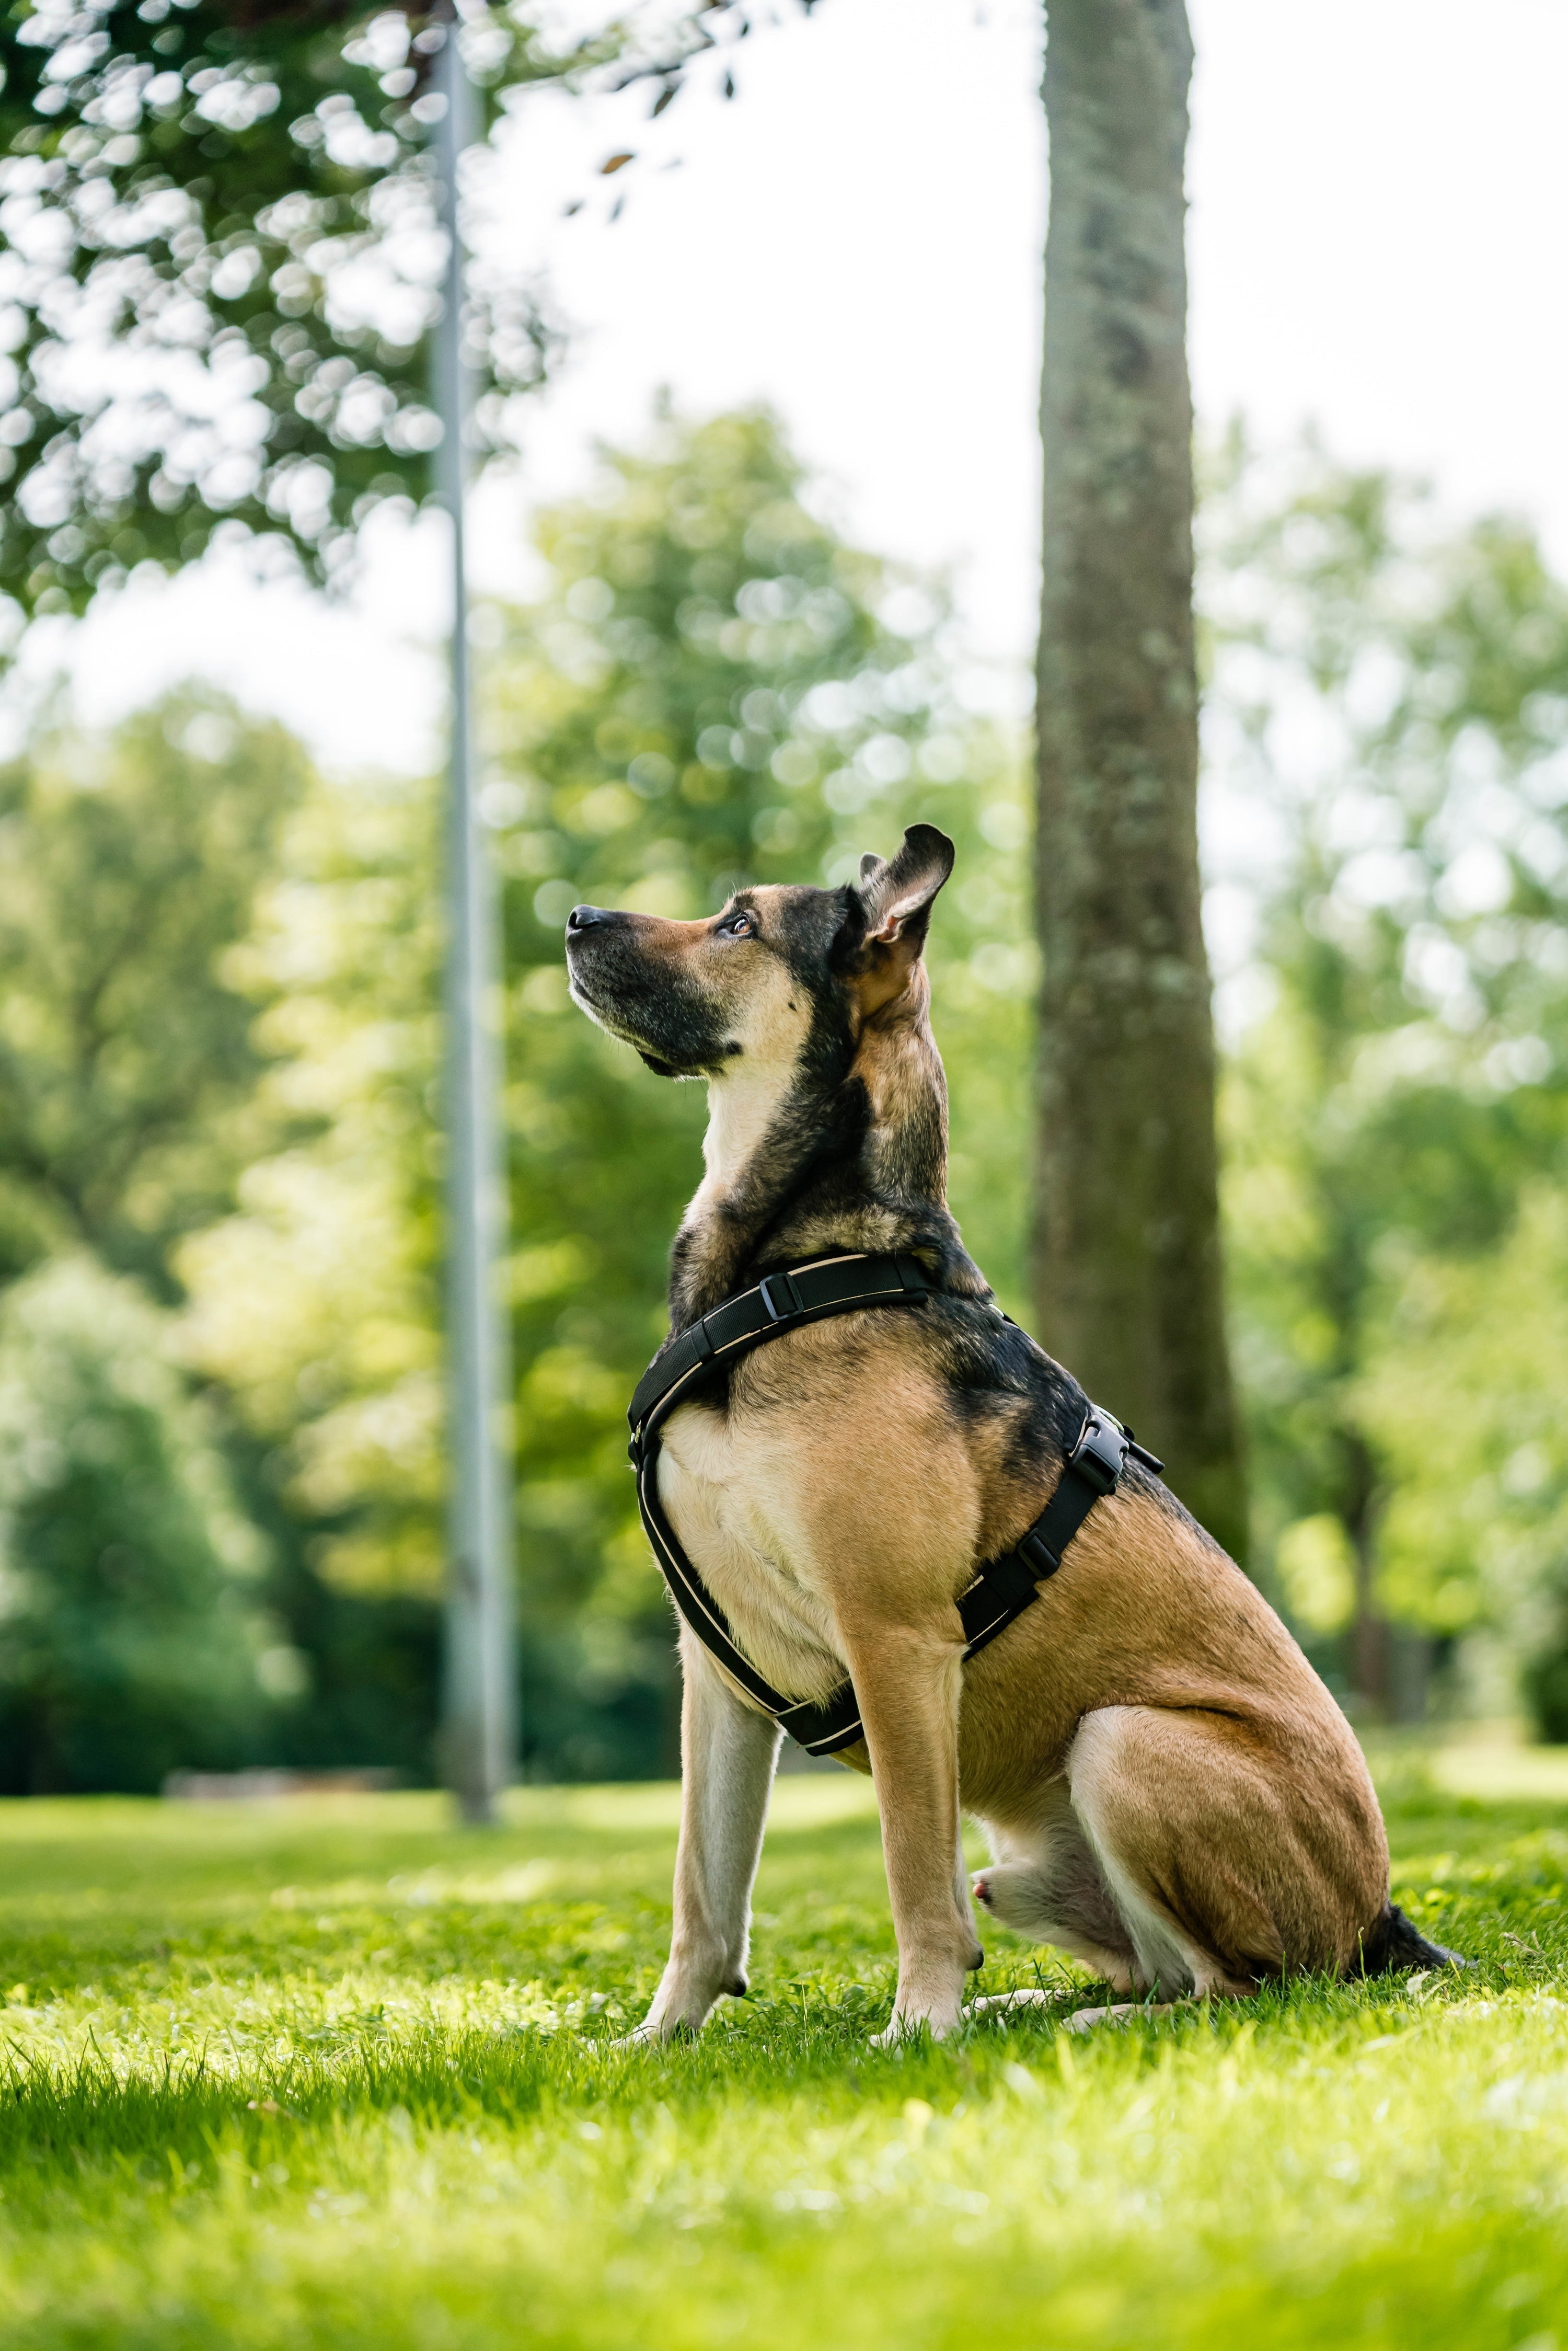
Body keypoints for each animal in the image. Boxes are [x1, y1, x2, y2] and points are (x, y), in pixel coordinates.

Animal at [561, 818, 1457, 2031]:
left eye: (740, 922)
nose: (573, 917)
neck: (798, 1268)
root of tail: (1381, 1918)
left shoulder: (895, 1639)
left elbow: (909, 1867)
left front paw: (917, 2027)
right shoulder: (717, 1672)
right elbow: (703, 1893)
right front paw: (660, 2040)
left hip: (1122, 1741)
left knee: (1236, 1986)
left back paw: (1079, 2022)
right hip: (1022, 1862)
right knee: (1143, 1960)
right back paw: (1017, 2007)